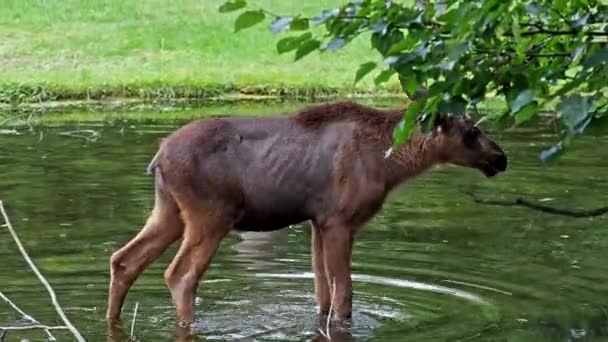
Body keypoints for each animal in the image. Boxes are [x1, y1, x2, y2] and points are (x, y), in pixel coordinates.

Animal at [107, 101, 506, 326]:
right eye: (473, 131)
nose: (501, 157)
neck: (392, 165)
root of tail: (159, 157)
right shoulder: (341, 221)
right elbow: (344, 295)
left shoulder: (318, 221)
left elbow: (322, 293)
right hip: (210, 216)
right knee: (180, 275)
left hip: (169, 211)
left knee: (124, 259)